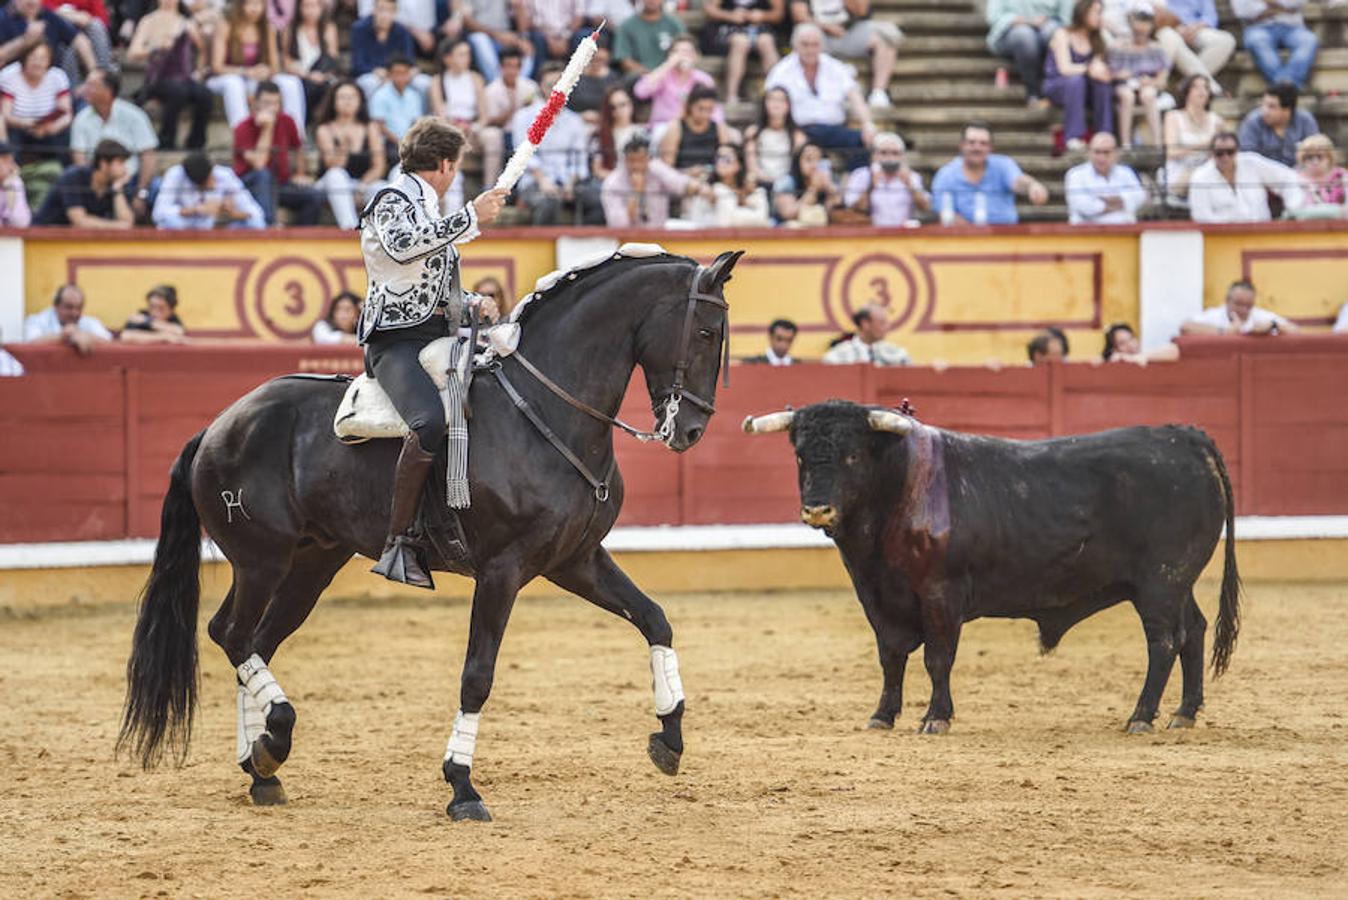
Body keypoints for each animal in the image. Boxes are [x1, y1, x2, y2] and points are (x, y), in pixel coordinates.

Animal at [119, 249, 744, 819]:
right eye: (707, 331)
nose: (690, 429)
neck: (546, 412)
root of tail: (218, 425)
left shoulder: (576, 559)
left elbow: (654, 618)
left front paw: (669, 738)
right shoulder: (502, 570)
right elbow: (477, 675)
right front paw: (462, 786)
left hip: (312, 564)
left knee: (257, 640)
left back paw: (263, 764)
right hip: (260, 560)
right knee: (229, 632)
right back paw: (273, 738)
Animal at [749, 401, 1240, 732]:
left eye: (852, 454)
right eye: (800, 455)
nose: (817, 509)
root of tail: (1187, 437)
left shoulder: (940, 594)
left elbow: (937, 657)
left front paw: (935, 718)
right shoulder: (876, 595)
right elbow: (890, 657)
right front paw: (882, 715)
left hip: (1160, 582)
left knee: (1164, 641)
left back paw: (1141, 716)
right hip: (1176, 583)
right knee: (1194, 630)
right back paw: (1183, 713)